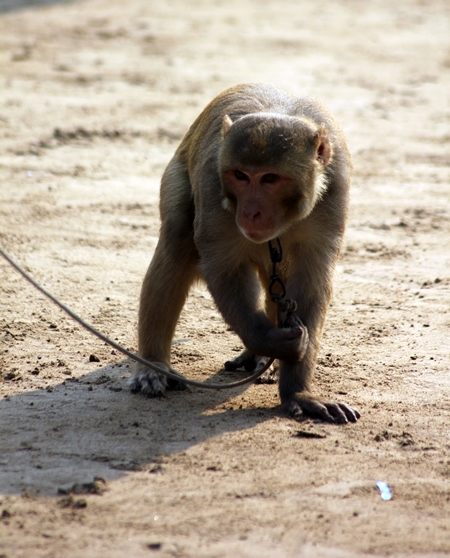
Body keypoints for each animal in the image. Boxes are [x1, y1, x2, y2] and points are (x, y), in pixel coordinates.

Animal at [128, 82, 360, 424]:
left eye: (270, 178)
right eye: (240, 175)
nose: (251, 212)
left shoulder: (334, 193)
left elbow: (311, 284)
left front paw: (298, 392)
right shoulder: (213, 184)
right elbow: (224, 268)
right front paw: (269, 341)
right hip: (178, 176)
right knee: (177, 240)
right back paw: (154, 365)